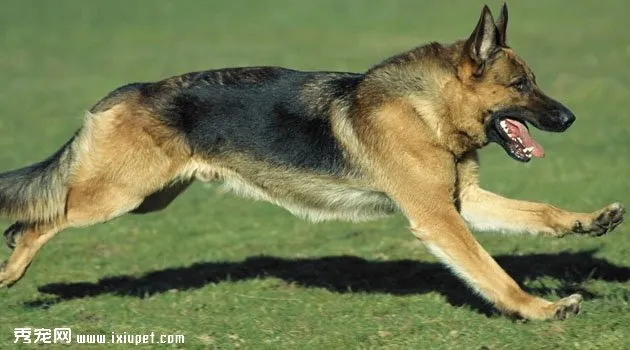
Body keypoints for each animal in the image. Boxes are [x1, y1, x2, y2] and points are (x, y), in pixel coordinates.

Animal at [0, 3, 624, 320]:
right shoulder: (439, 217)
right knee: (36, 219)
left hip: (147, 200)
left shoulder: (461, 202)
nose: (570, 118)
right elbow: (493, 272)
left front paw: (588, 222)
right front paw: (538, 308)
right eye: (521, 85)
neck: (427, 109)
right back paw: (11, 271)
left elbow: (541, 211)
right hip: (115, 196)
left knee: (39, 213)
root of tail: (124, 92)